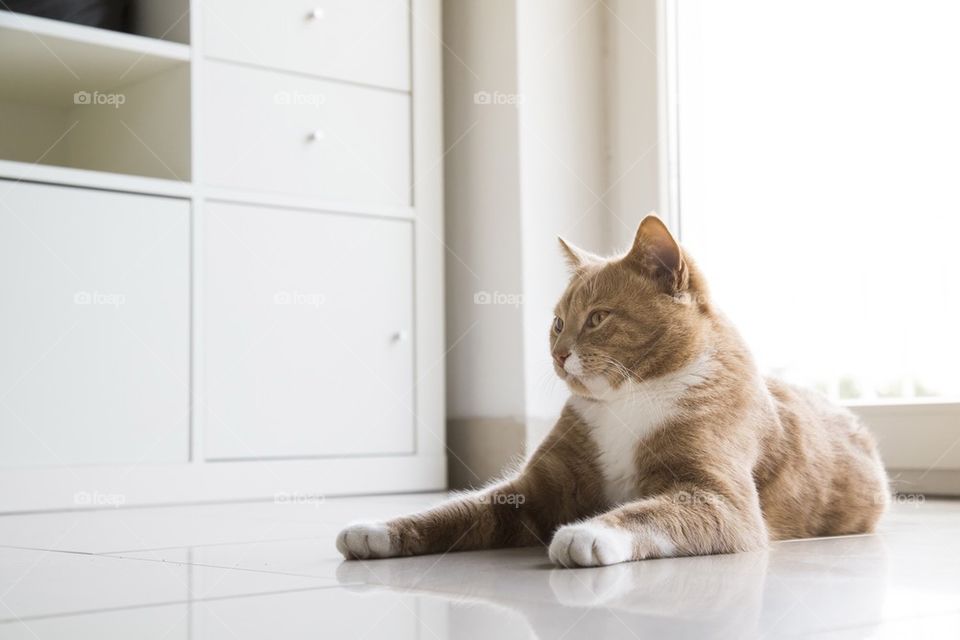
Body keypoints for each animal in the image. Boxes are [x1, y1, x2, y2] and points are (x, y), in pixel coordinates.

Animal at [336, 218, 884, 568]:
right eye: (557, 323)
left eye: (598, 318)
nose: (559, 354)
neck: (628, 400)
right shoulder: (532, 488)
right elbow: (457, 510)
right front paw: (377, 529)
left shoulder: (721, 498)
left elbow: (658, 510)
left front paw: (588, 531)